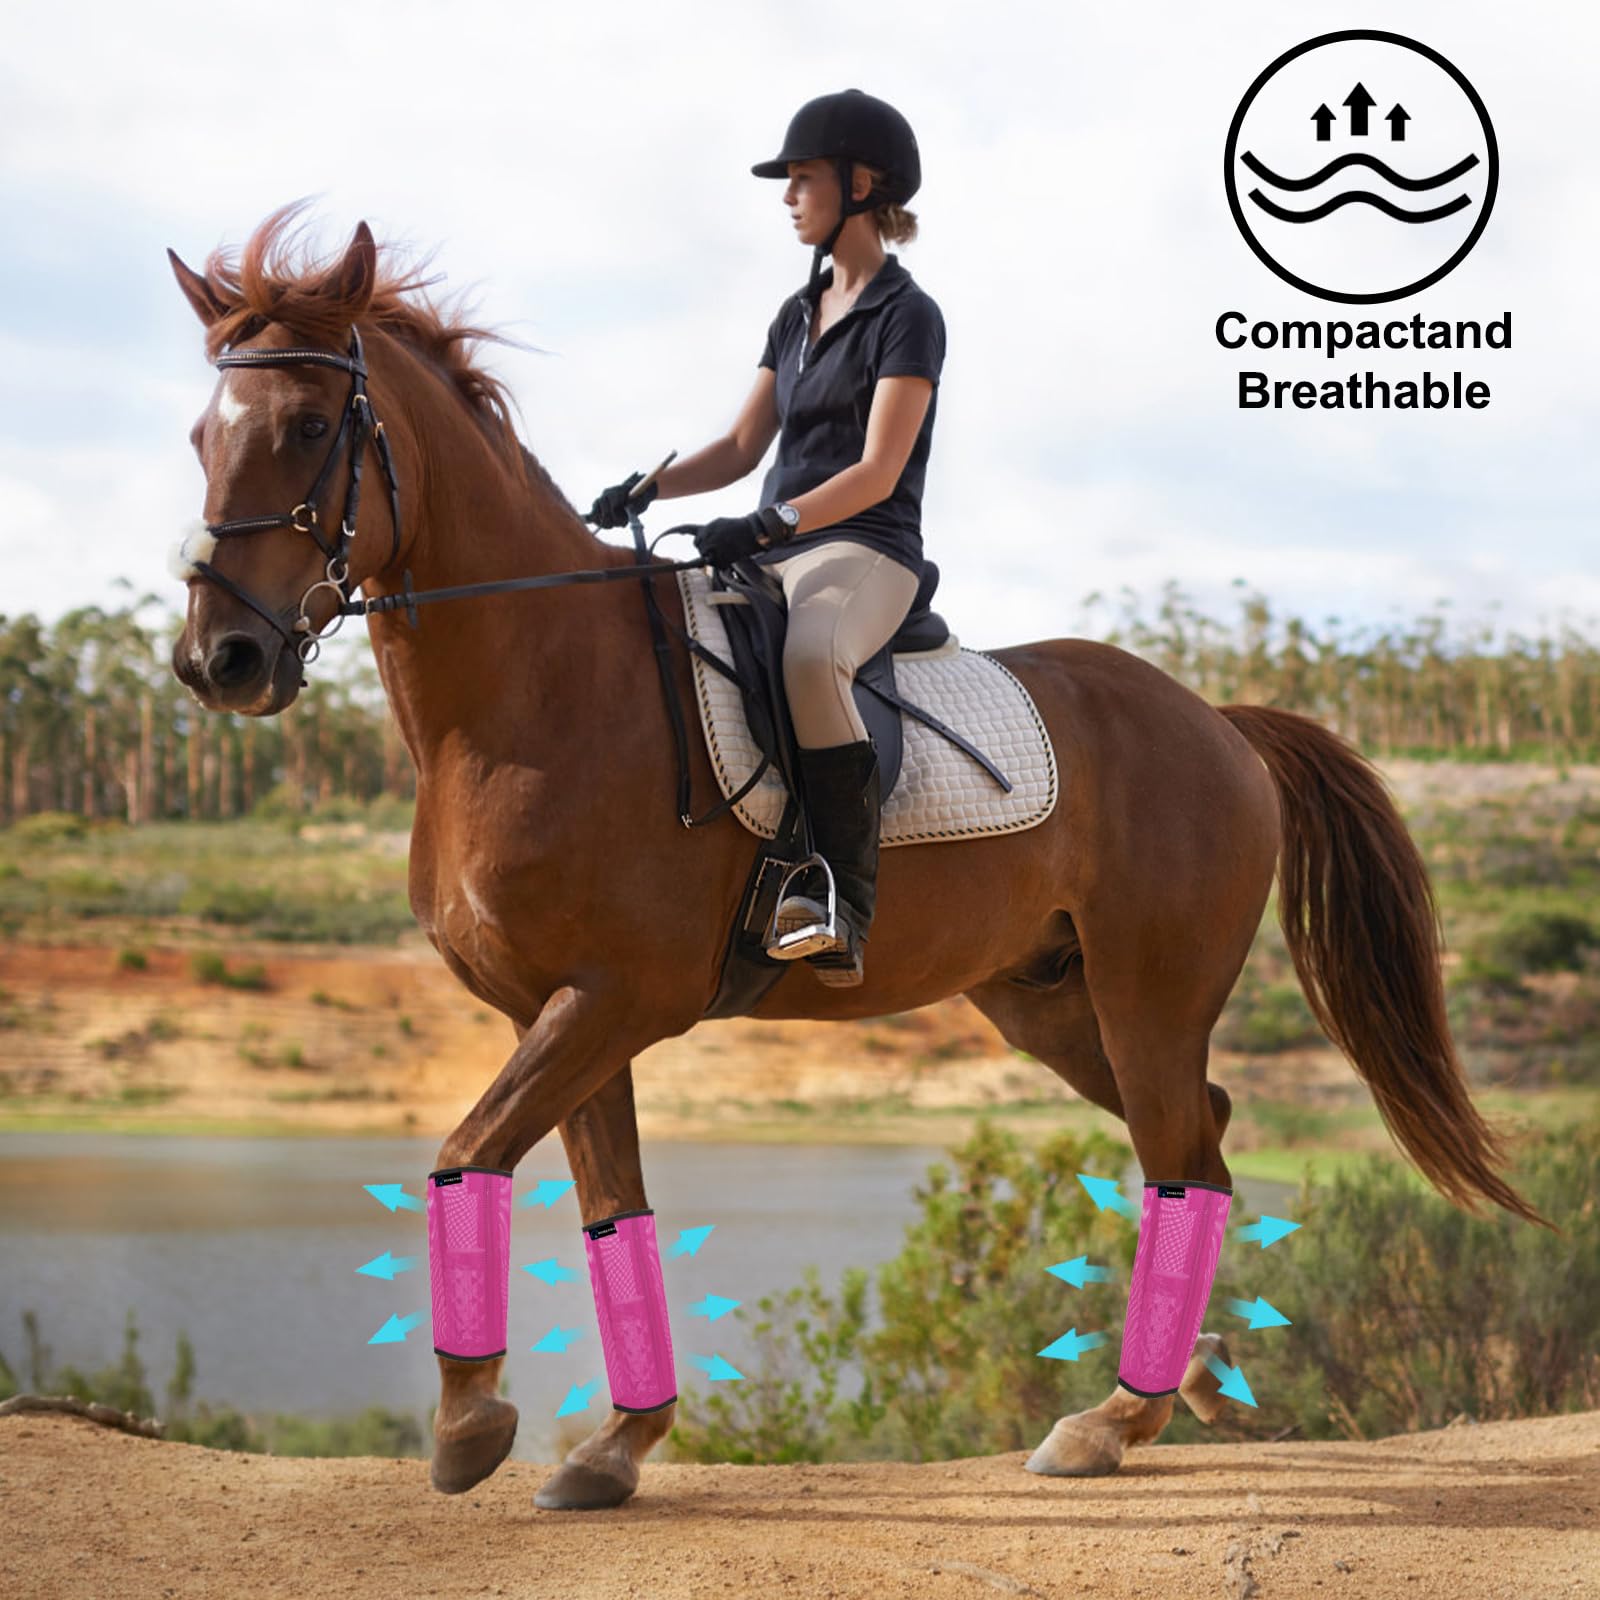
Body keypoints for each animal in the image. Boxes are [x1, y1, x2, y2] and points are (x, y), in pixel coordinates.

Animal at [166, 204, 1551, 1510]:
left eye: (307, 426)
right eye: (197, 437)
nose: (220, 660)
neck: (534, 690)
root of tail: (1216, 718)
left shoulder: (614, 999)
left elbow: (463, 1154)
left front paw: (470, 1426)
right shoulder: (558, 1014)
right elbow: (608, 1207)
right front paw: (616, 1447)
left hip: (1147, 993)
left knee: (1177, 1144)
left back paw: (1111, 1419)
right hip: (1046, 1002)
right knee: (1194, 1138)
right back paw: (1185, 1381)